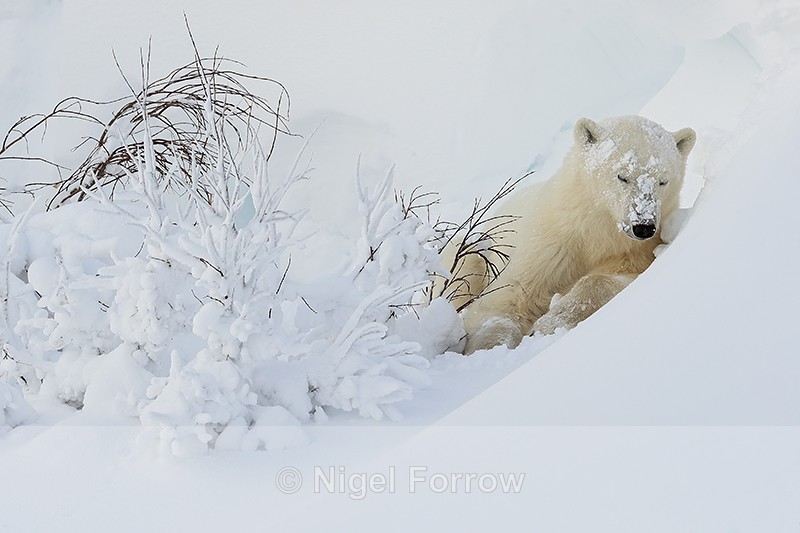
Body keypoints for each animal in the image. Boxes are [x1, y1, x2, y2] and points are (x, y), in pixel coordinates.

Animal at [449, 115, 696, 354]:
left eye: (663, 180)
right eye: (622, 176)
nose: (643, 226)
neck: (593, 230)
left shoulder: (630, 252)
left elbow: (608, 279)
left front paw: (548, 323)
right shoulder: (550, 243)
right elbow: (508, 298)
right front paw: (487, 349)